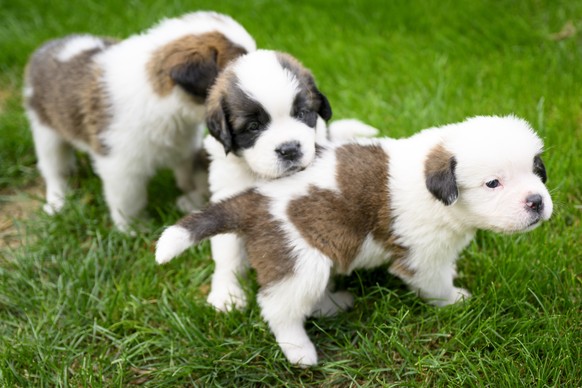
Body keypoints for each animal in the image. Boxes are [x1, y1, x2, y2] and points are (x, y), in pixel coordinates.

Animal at [23, 11, 256, 230]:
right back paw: (57, 201)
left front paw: (191, 198)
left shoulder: (185, 144)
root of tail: (45, 47)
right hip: (45, 131)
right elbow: (128, 201)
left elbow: (189, 172)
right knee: (54, 169)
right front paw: (134, 229)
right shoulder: (120, 166)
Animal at [154, 113, 552, 366]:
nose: (537, 202)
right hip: (301, 261)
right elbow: (435, 283)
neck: (436, 190)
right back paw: (299, 350)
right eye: (493, 183)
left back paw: (334, 303)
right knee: (279, 307)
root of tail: (254, 198)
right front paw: (455, 301)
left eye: (536, 170)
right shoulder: (422, 255)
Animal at [201, 49, 380, 310]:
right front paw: (227, 294)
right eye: (253, 126)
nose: (289, 149)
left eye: (302, 114)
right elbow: (228, 253)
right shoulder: (228, 194)